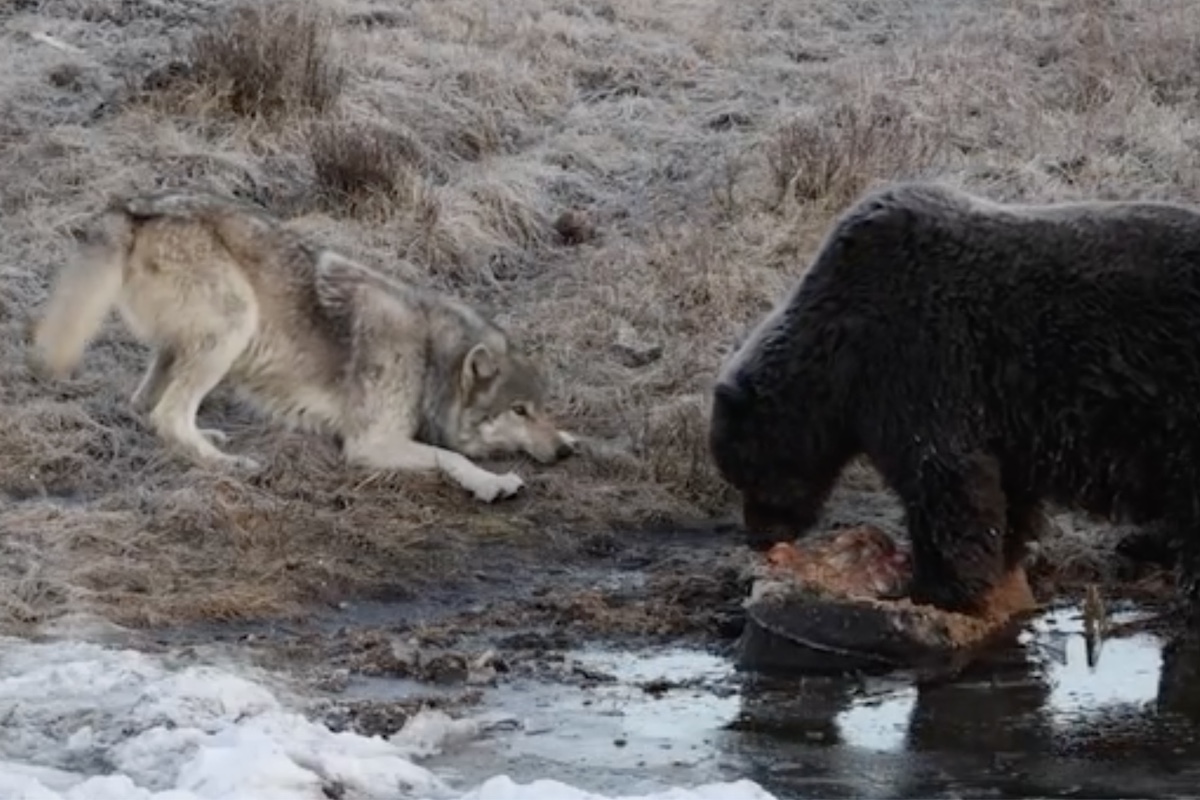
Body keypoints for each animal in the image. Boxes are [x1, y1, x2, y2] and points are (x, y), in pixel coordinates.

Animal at [28, 190, 577, 502]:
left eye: (542, 409)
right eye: (519, 411)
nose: (561, 453)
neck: (428, 358)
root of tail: (136, 210)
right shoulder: (370, 443)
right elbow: (454, 458)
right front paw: (494, 483)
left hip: (189, 344)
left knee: (146, 405)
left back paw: (210, 440)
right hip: (235, 325)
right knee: (167, 415)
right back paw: (228, 464)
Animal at [709, 180, 1200, 624]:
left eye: (742, 473)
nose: (760, 535)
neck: (841, 355)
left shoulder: (918, 357)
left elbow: (943, 476)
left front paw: (933, 586)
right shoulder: (1002, 416)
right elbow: (1002, 490)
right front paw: (1000, 557)